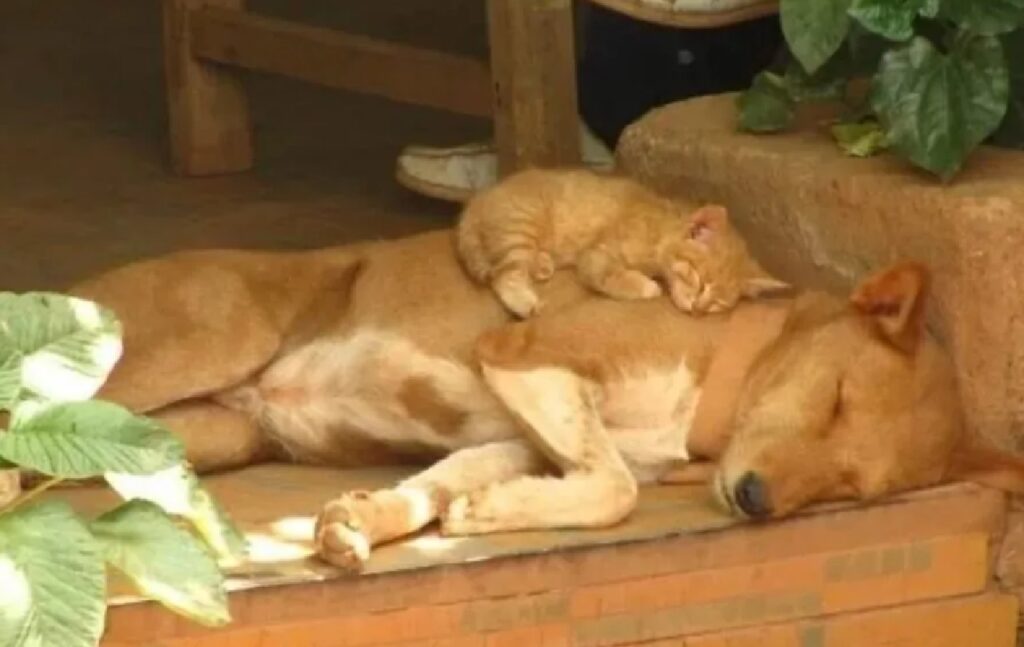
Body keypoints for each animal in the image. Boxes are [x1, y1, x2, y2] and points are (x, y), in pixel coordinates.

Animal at [70, 230, 1024, 569]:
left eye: (849, 486)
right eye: (832, 400)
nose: (755, 499)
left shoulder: (516, 434)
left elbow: (446, 486)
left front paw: (377, 519)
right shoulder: (523, 355)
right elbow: (616, 489)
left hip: (195, 437)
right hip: (194, 345)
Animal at [454, 167, 782, 317]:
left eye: (717, 304)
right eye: (699, 279)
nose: (697, 309)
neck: (660, 229)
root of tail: (476, 200)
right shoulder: (596, 257)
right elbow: (609, 274)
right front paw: (643, 286)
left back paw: (541, 263)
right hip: (521, 225)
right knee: (504, 275)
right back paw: (524, 301)